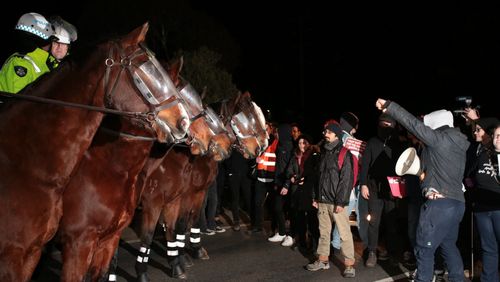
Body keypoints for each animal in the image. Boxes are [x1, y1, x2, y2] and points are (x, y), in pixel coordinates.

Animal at [133, 92, 266, 280]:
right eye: (247, 118)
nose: (262, 145)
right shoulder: (161, 201)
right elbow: (159, 232)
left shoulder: (196, 193)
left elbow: (189, 220)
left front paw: (188, 253)